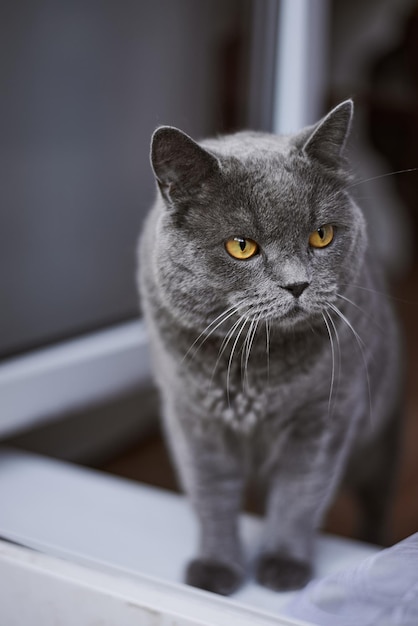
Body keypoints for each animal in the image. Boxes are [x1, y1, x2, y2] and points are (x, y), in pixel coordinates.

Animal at [139, 101, 404, 596]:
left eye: (322, 235)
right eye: (241, 246)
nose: (297, 284)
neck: (255, 366)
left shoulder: (325, 419)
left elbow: (299, 495)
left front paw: (283, 566)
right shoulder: (192, 420)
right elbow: (212, 496)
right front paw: (216, 570)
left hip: (381, 439)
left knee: (376, 501)